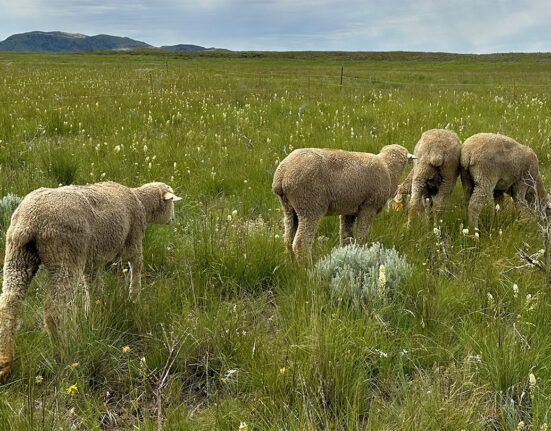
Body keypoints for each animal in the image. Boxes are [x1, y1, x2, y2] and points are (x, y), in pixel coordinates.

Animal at [0, 181, 182, 384]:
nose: (173, 219)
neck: (141, 202)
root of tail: (30, 222)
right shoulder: (134, 244)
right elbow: (136, 270)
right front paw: (134, 298)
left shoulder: (93, 261)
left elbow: (92, 289)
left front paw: (92, 315)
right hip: (66, 257)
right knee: (53, 311)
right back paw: (63, 353)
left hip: (17, 254)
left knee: (8, 304)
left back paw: (5, 363)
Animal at [272, 145, 414, 264]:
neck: (388, 170)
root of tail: (282, 174)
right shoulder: (369, 207)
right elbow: (361, 236)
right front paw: (361, 253)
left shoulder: (349, 211)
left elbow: (346, 237)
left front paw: (348, 254)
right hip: (309, 205)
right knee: (301, 244)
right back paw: (307, 269)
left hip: (290, 208)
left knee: (288, 240)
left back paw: (293, 266)